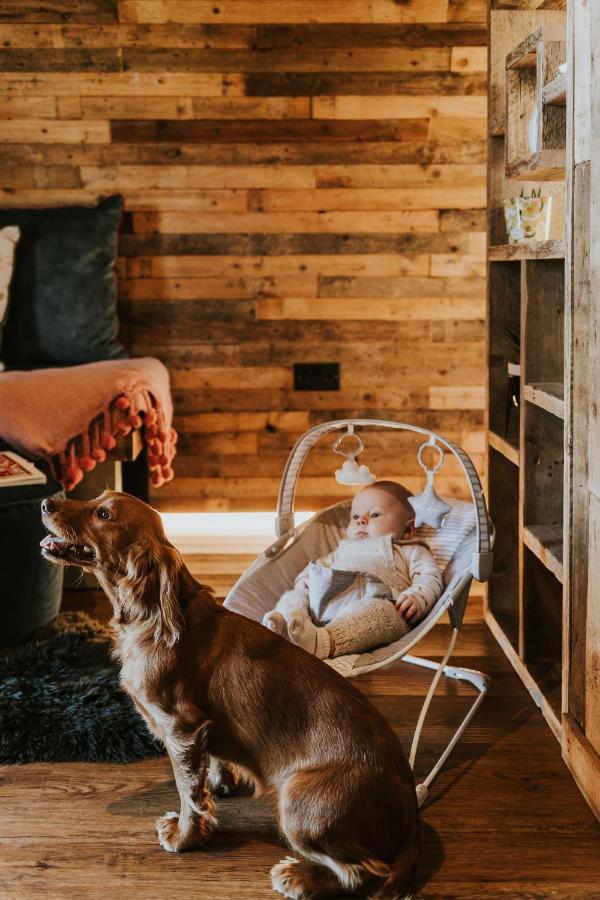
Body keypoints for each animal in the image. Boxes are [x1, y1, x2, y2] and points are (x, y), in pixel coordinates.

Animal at [42, 492, 420, 900]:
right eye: (99, 499)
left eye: (103, 513)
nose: (46, 503)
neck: (156, 615)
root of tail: (410, 806)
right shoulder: (200, 728)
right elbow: (210, 766)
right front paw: (220, 784)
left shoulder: (179, 727)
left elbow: (187, 792)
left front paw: (185, 836)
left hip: (296, 800)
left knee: (364, 872)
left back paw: (299, 877)